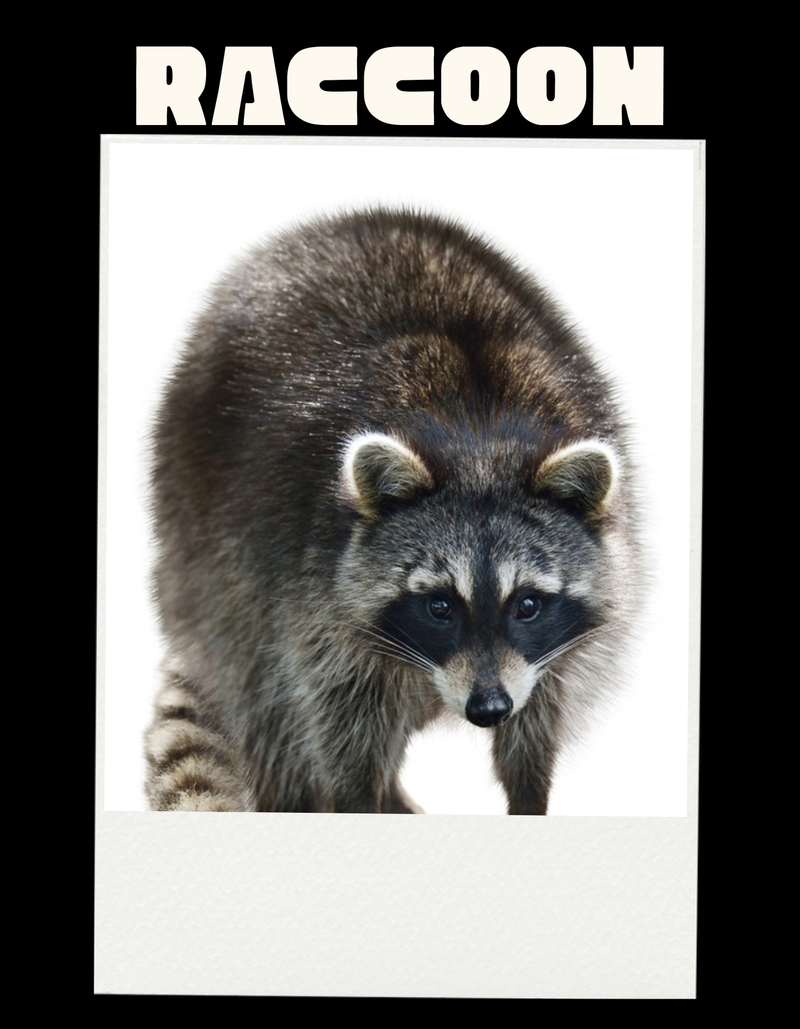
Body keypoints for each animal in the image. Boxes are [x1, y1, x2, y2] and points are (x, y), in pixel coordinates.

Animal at [145, 207, 641, 815]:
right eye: (438, 605)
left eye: (527, 604)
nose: (489, 710)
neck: (478, 438)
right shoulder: (309, 589)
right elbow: (336, 715)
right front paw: (358, 797)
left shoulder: (551, 647)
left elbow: (540, 709)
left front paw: (529, 791)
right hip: (206, 535)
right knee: (268, 703)